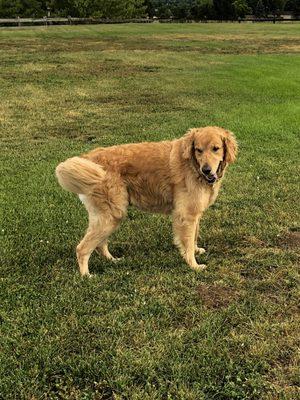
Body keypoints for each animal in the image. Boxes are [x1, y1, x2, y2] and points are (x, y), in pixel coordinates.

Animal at [55, 126, 237, 276]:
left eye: (216, 149)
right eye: (198, 150)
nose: (206, 170)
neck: (192, 166)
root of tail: (89, 158)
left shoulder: (195, 214)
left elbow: (194, 238)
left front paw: (197, 250)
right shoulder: (186, 215)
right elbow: (188, 243)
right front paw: (193, 265)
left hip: (107, 216)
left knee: (99, 245)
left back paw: (112, 261)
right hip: (111, 216)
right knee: (82, 249)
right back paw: (86, 276)